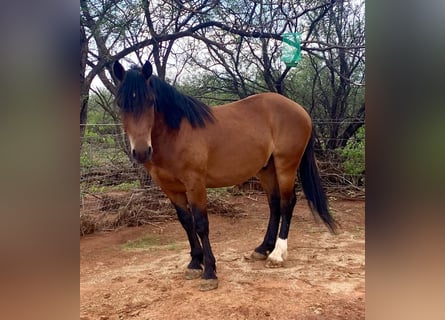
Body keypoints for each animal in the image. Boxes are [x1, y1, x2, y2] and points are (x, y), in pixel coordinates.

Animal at [112, 59, 336, 290]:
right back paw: (262, 249)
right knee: (274, 204)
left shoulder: (195, 183)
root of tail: (300, 110)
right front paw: (195, 263)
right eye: (120, 104)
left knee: (286, 203)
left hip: (286, 166)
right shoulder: (170, 187)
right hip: (266, 169)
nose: (141, 151)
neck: (175, 134)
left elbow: (201, 224)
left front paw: (209, 272)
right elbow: (186, 222)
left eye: (150, 101)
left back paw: (277, 254)